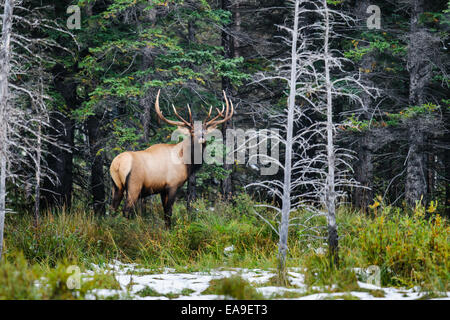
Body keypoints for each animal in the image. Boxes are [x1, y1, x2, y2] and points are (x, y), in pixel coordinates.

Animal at [110, 89, 234, 226]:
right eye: (192, 131)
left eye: (205, 130)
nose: (201, 137)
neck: (186, 163)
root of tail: (117, 164)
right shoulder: (172, 185)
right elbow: (168, 212)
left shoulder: (162, 189)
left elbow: (165, 212)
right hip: (134, 185)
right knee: (126, 210)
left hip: (116, 186)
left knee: (112, 210)